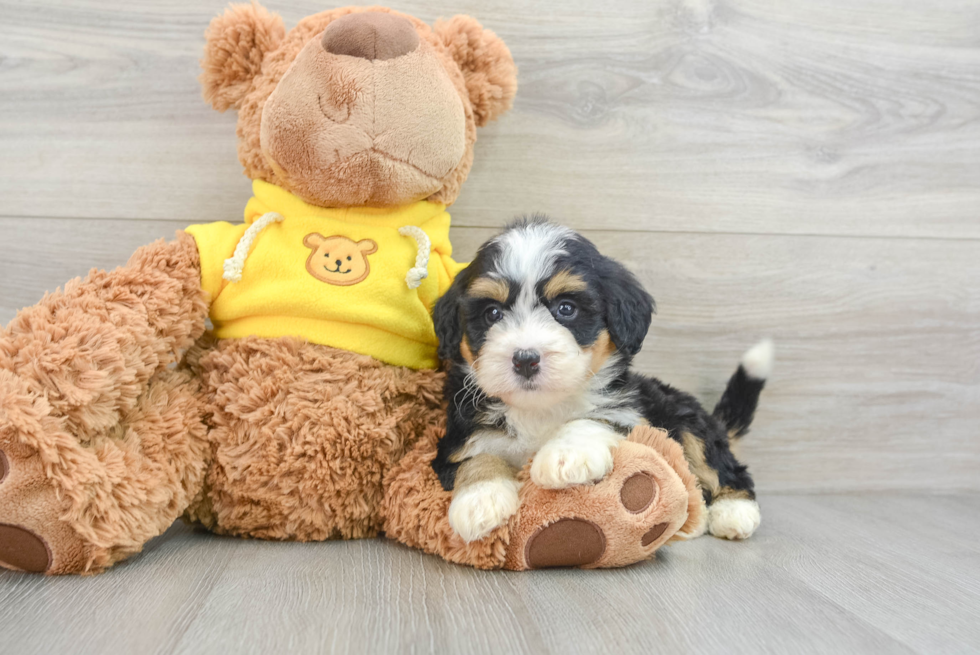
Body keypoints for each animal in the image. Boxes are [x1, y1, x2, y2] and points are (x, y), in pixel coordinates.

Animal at [430, 219, 772, 544]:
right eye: (492, 313)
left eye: (566, 309)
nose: (525, 358)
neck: (540, 409)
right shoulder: (456, 439)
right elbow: (477, 455)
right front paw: (480, 500)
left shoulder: (631, 415)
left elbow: (596, 418)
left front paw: (565, 454)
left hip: (684, 417)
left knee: (718, 464)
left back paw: (733, 511)